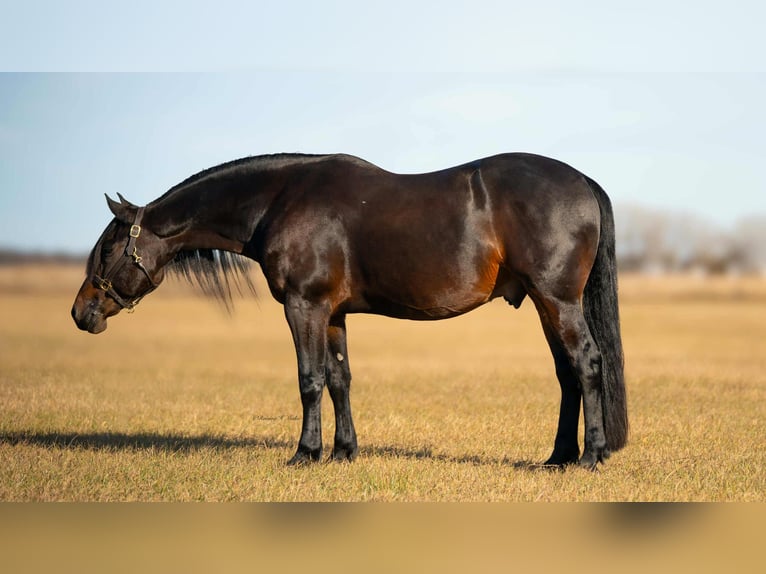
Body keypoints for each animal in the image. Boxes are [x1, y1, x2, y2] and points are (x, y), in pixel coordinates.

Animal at [72, 152, 627, 469]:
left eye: (108, 248)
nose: (81, 313)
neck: (278, 201)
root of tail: (582, 180)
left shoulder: (305, 306)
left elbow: (309, 379)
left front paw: (305, 453)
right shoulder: (334, 314)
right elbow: (340, 379)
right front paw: (343, 452)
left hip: (557, 300)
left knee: (586, 364)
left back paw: (590, 457)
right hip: (545, 304)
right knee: (567, 373)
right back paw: (558, 457)